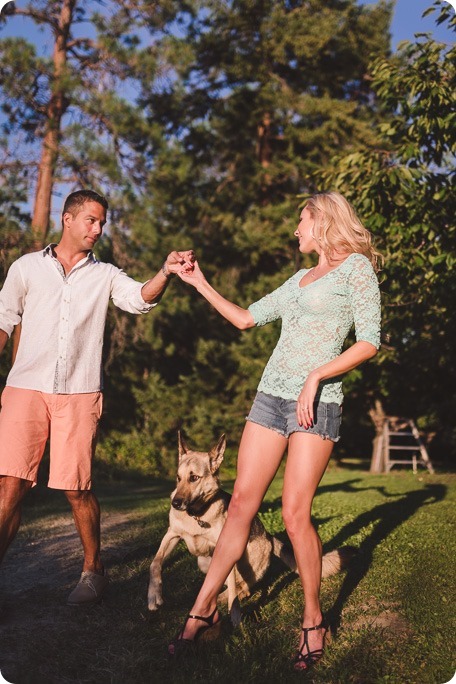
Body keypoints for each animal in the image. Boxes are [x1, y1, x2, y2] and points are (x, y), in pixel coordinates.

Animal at [148, 432, 350, 620]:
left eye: (194, 478)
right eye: (178, 478)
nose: (175, 503)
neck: (196, 515)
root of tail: (269, 537)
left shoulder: (225, 546)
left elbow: (233, 591)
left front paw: (233, 612)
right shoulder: (171, 535)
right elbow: (155, 562)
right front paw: (153, 595)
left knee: (241, 588)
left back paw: (220, 599)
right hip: (205, 563)